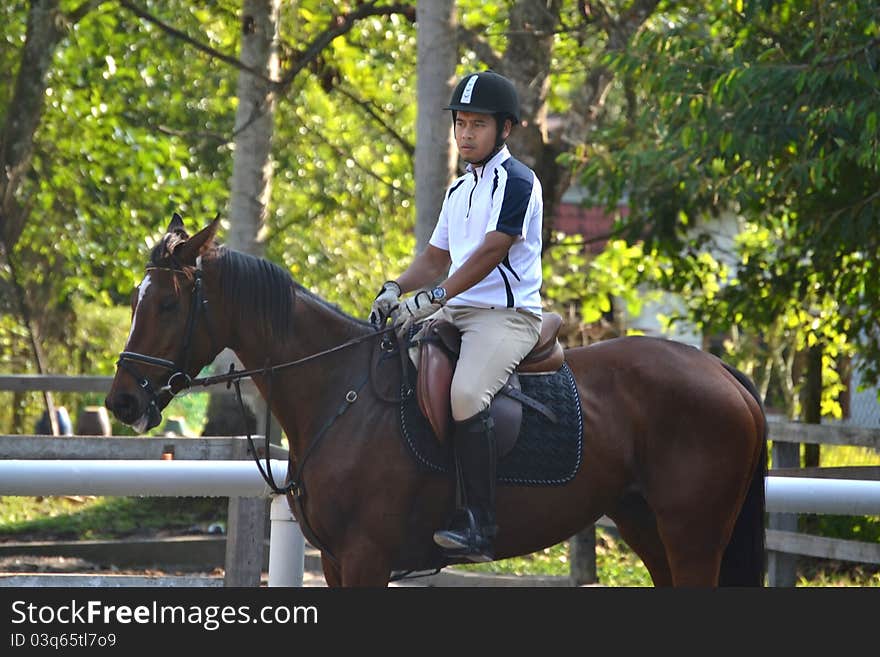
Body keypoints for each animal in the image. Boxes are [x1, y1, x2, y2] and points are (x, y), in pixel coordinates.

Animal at [103, 214, 768, 584]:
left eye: (168, 304)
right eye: (136, 300)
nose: (122, 404)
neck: (340, 391)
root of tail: (720, 370)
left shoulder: (366, 558)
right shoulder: (339, 562)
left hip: (692, 532)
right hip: (644, 522)